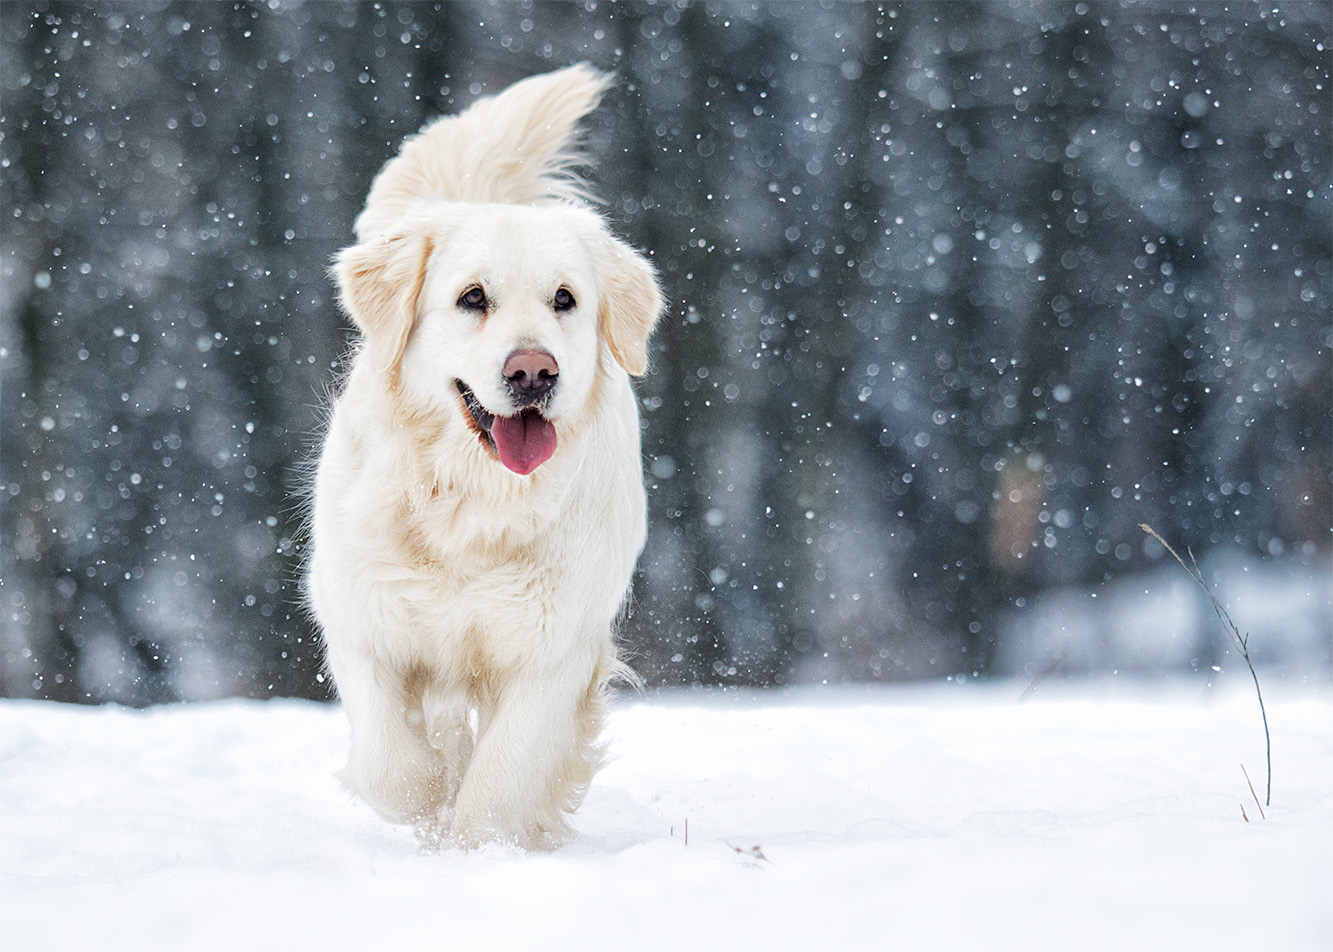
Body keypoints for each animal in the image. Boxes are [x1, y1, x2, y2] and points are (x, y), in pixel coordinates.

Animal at [311, 65, 666, 848]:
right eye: (472, 298)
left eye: (564, 299)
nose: (533, 371)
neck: (470, 502)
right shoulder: (363, 619)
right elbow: (394, 766)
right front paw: (427, 822)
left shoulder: (553, 651)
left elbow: (501, 778)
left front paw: (479, 846)